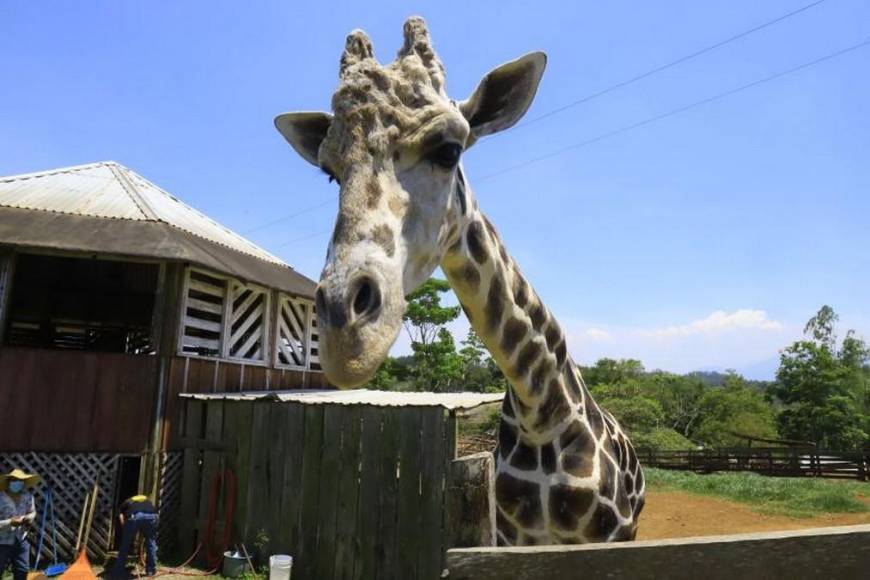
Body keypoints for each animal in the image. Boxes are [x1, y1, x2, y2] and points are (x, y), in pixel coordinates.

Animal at [276, 15, 644, 548]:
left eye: (449, 150)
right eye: (330, 173)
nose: (347, 341)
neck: (540, 418)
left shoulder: (611, 539)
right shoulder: (510, 539)